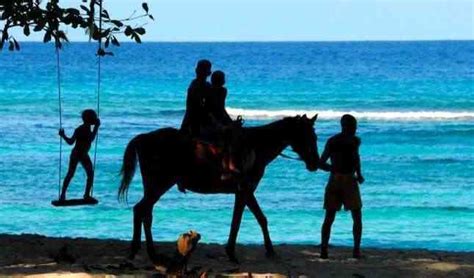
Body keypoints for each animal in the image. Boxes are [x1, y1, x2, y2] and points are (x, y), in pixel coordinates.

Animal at [118, 114, 320, 264]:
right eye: (308, 136)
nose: (315, 163)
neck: (256, 146)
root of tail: (143, 138)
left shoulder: (244, 192)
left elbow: (255, 219)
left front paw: (263, 251)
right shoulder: (245, 190)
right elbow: (243, 221)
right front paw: (239, 252)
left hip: (154, 187)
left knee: (145, 213)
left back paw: (149, 252)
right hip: (159, 185)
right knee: (141, 210)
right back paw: (139, 251)